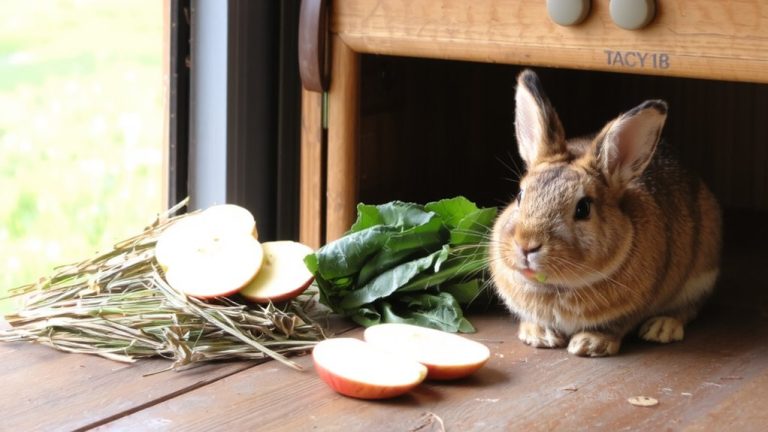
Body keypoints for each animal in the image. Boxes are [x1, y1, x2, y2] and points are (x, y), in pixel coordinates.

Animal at [489, 69, 722, 357]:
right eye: (520, 195)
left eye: (583, 208)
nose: (526, 245)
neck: (555, 288)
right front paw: (539, 335)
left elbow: (615, 325)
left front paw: (590, 343)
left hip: (702, 272)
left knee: (688, 309)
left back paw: (662, 328)